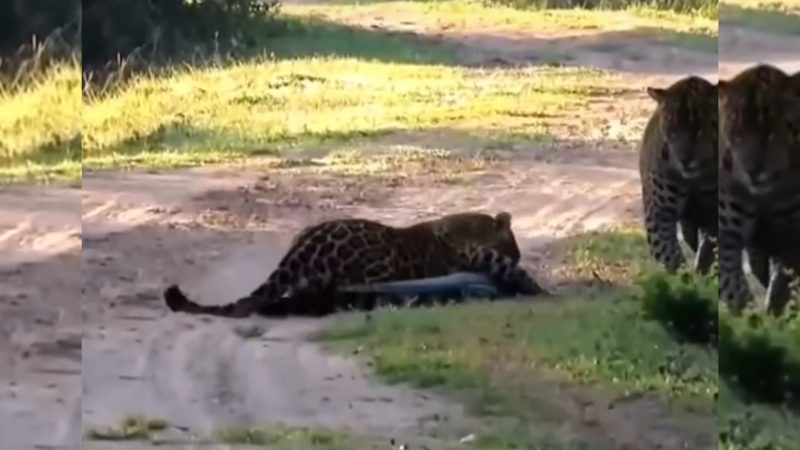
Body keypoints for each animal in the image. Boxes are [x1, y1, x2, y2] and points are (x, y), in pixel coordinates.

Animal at [165, 211, 548, 316]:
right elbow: (509, 269)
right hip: (377, 268)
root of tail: (304, 247)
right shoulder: (476, 254)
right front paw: (542, 292)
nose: (519, 253)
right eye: (514, 246)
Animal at [636, 74, 720, 274]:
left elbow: (712, 244)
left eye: (699, 129)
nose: (685, 160)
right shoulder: (659, 212)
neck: (694, 180)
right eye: (672, 130)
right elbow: (669, 253)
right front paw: (682, 277)